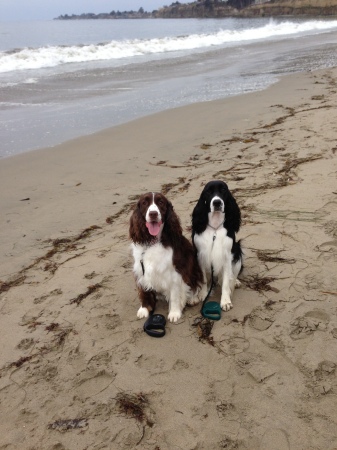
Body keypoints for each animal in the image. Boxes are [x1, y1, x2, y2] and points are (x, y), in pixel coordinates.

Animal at [129, 192, 202, 322]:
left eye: (161, 202)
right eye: (144, 202)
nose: (153, 214)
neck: (153, 242)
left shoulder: (175, 272)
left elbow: (175, 295)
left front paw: (174, 313)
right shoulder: (140, 269)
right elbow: (144, 290)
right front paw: (144, 309)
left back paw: (193, 298)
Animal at [192, 181, 242, 312]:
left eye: (223, 190)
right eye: (208, 191)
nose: (217, 202)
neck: (214, 227)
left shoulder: (227, 255)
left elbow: (225, 281)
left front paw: (225, 301)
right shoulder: (200, 255)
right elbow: (203, 279)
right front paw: (203, 294)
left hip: (238, 249)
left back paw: (235, 281)